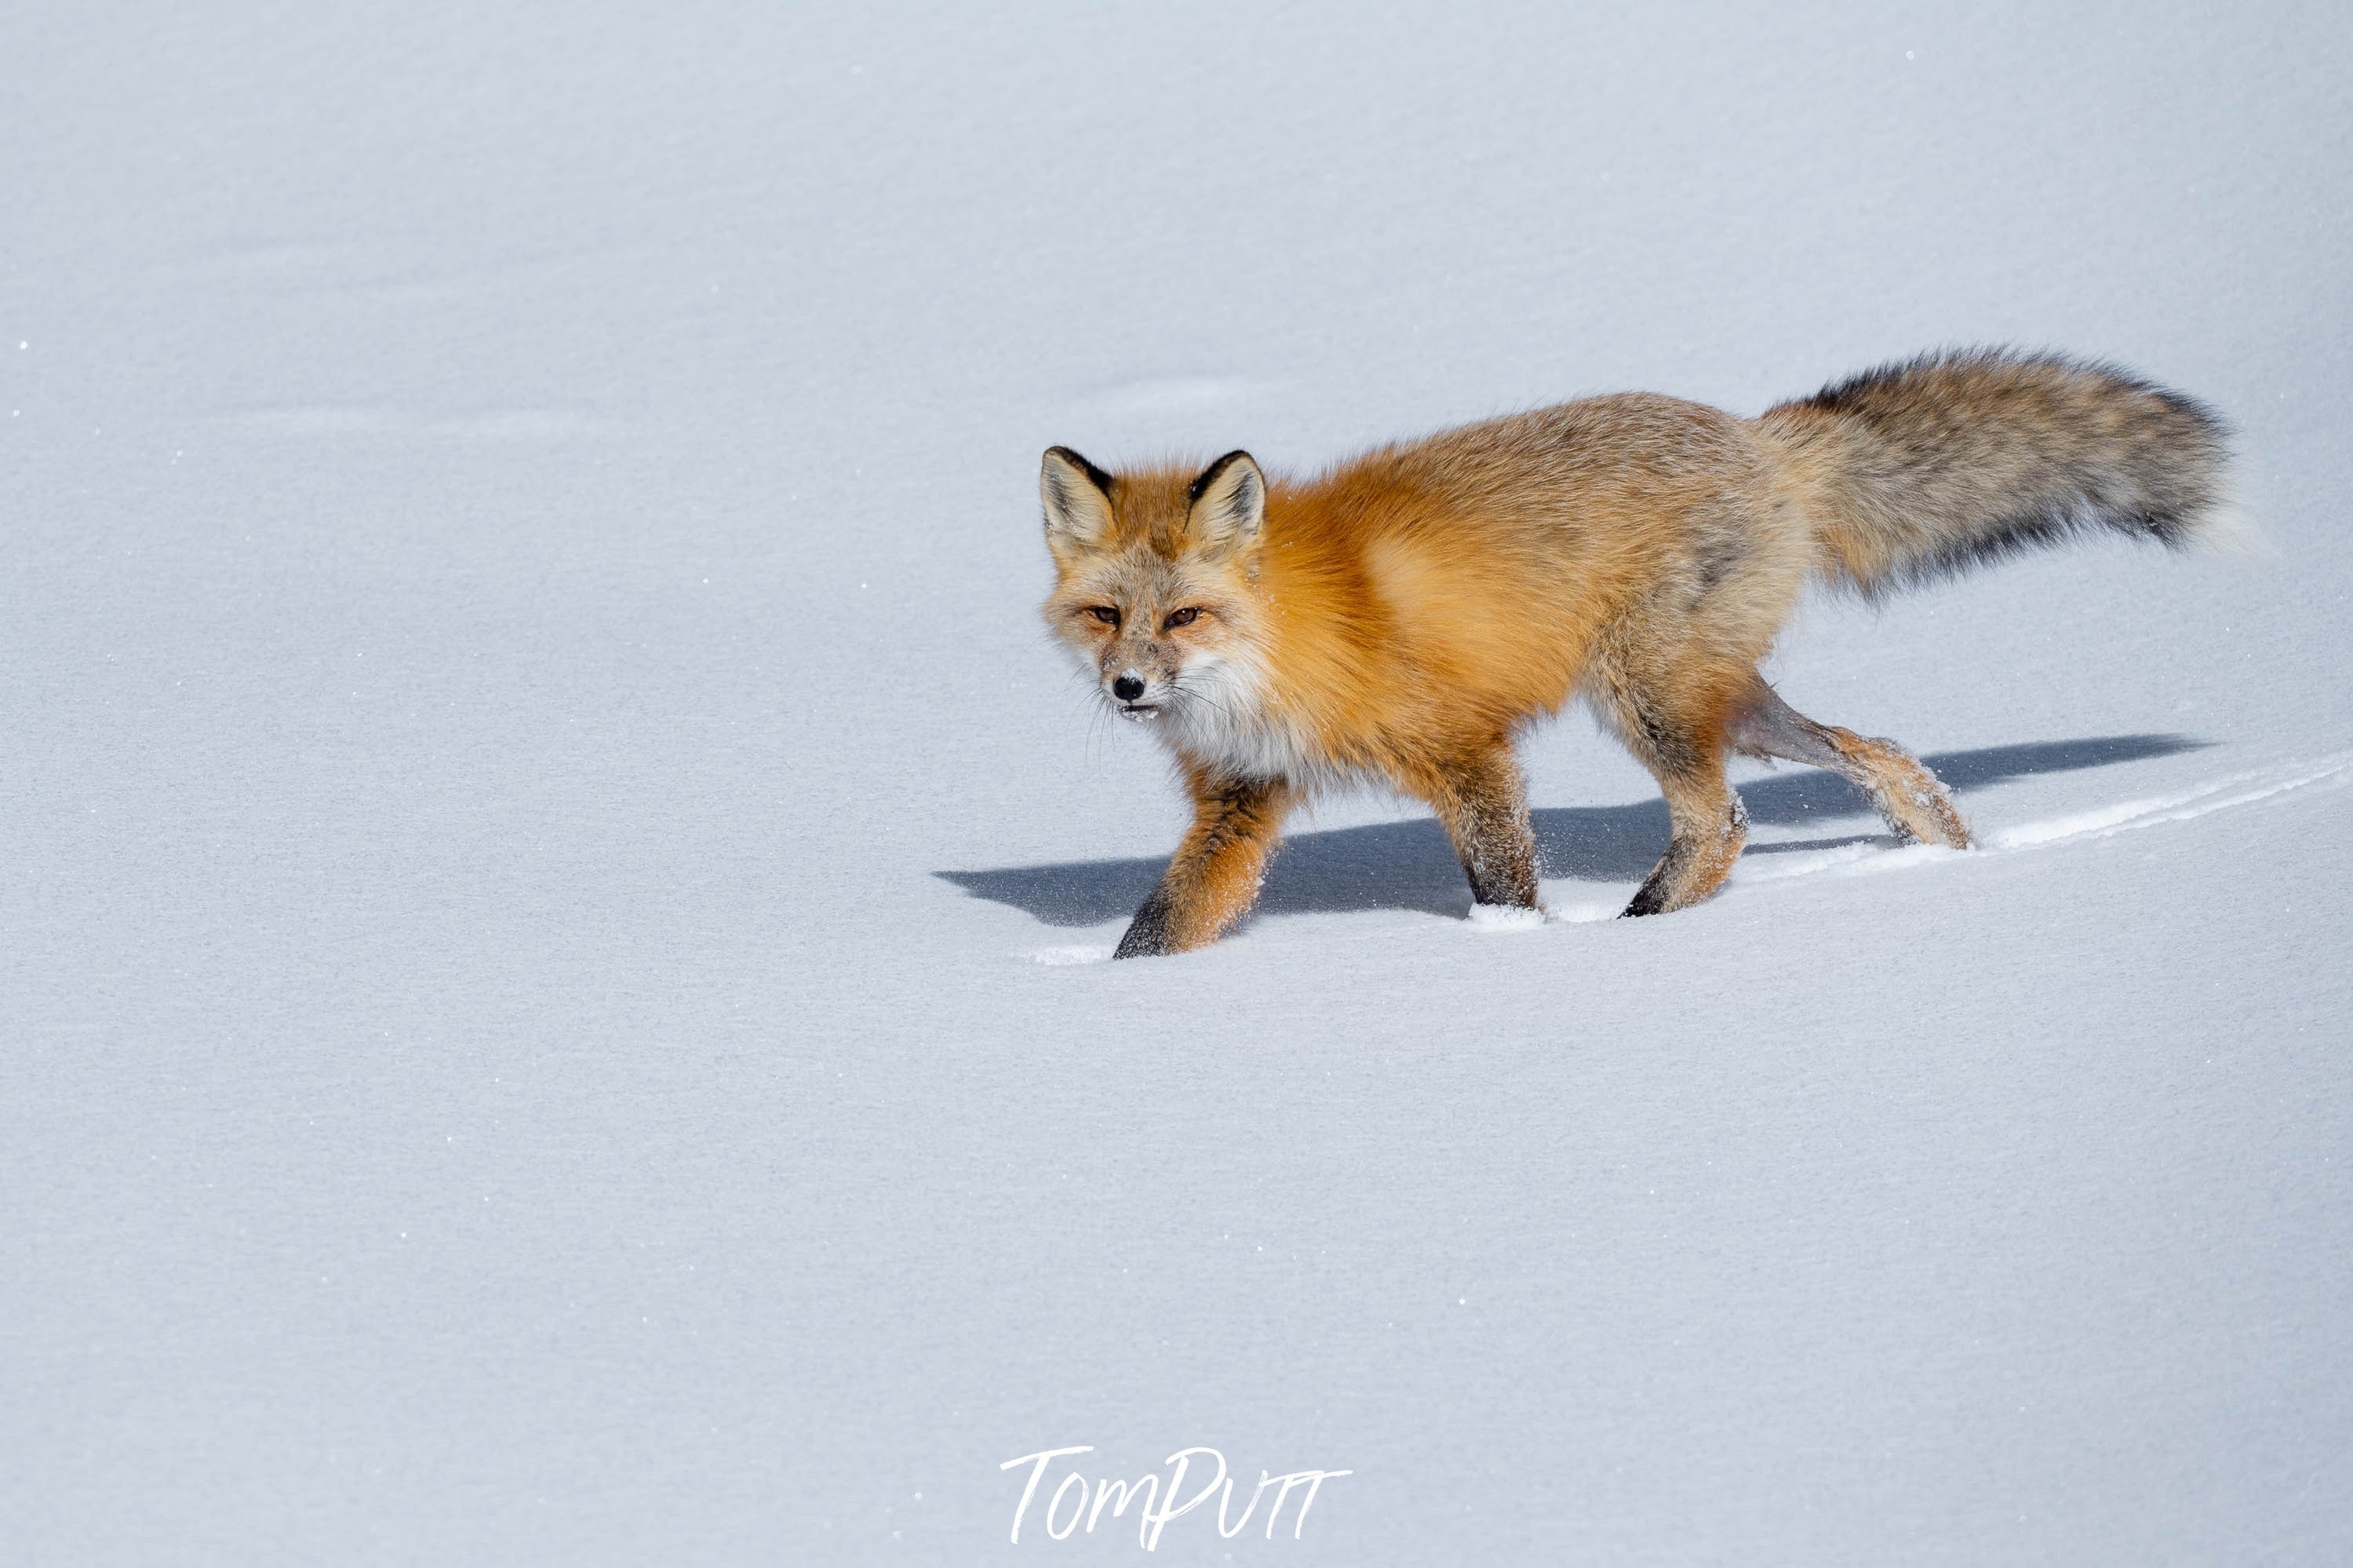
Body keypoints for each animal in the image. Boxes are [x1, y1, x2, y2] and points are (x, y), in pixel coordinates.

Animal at [1038, 348, 2233, 959]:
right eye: (1105, 615)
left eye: (1182, 617)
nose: (1127, 687)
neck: (1279, 645)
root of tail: (1758, 437)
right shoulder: (1242, 796)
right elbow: (1161, 924)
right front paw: (1109, 993)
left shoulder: (1467, 752)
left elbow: (1504, 884)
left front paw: (1513, 955)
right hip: (1728, 703)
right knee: (1876, 751)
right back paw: (1939, 850)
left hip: (1643, 696)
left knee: (1721, 820)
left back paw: (1638, 930)